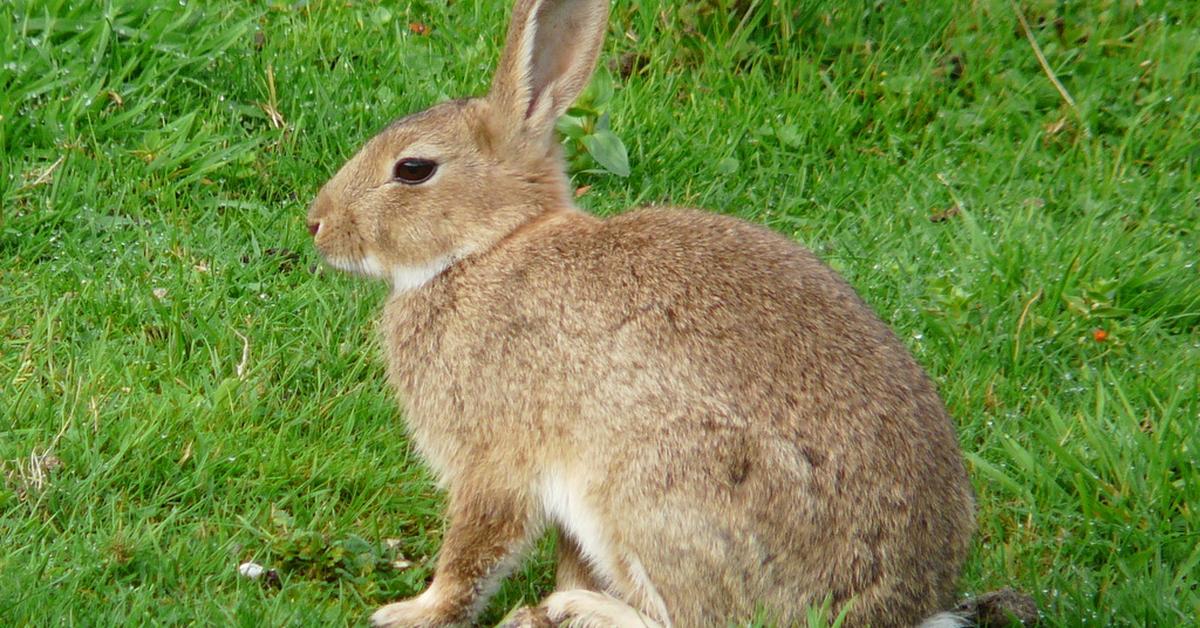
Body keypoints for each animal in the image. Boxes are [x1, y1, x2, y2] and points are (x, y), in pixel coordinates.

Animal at [307, 0, 974, 624]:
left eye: (413, 169)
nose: (317, 224)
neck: (489, 246)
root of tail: (896, 606)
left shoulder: (495, 457)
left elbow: (474, 553)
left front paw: (411, 613)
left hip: (655, 488)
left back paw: (586, 610)